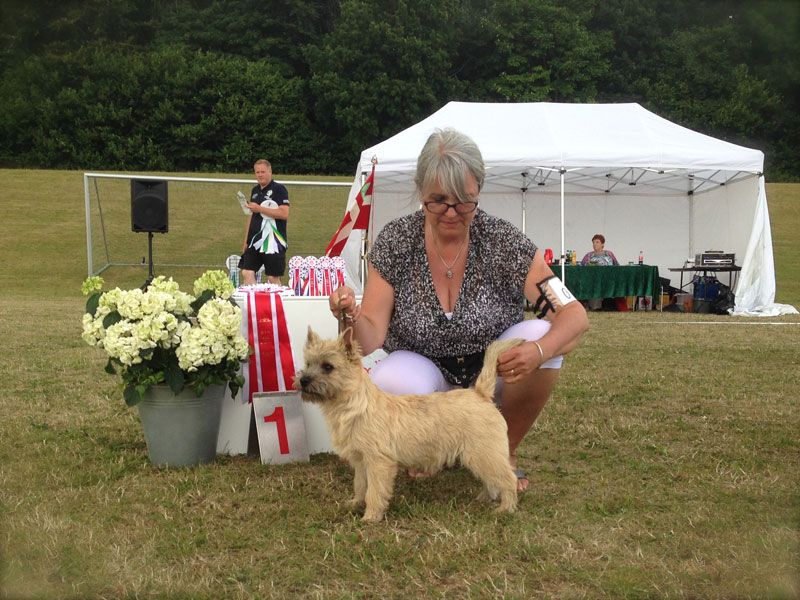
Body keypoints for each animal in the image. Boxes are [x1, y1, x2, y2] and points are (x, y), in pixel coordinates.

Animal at [294, 328, 524, 520]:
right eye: (307, 364)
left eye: (328, 367)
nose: (303, 381)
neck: (354, 406)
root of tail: (480, 394)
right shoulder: (360, 462)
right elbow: (360, 485)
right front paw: (354, 503)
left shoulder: (378, 462)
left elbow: (374, 491)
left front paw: (370, 517)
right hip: (480, 456)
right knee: (492, 480)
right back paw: (484, 498)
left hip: (483, 454)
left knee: (507, 479)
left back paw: (505, 508)